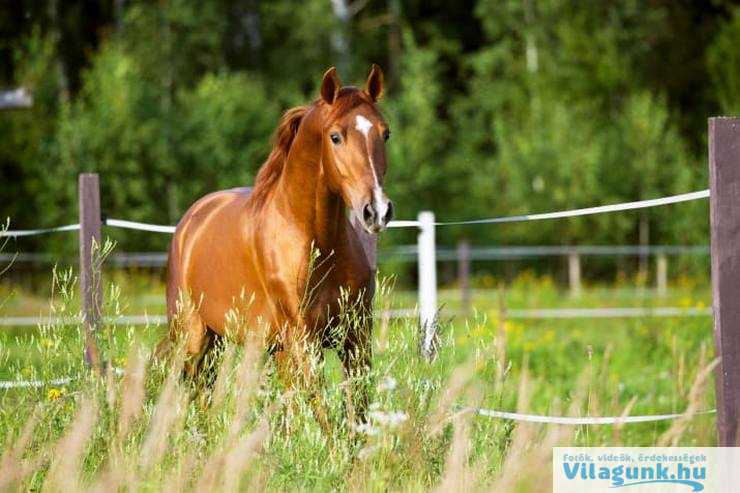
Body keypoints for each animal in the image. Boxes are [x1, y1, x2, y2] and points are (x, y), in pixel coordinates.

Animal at [162, 63, 394, 420]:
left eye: (385, 133)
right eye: (335, 136)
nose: (377, 211)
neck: (316, 242)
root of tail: (192, 220)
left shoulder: (355, 337)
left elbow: (356, 412)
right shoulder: (303, 341)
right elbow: (323, 413)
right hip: (195, 338)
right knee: (196, 393)